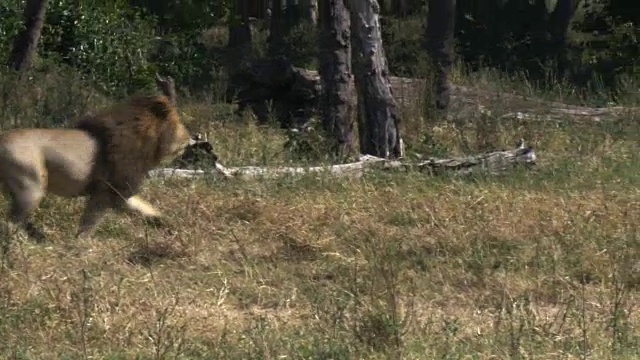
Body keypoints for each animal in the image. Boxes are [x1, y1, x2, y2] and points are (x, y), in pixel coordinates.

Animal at [0, 75, 190, 242]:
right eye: (179, 120)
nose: (189, 139)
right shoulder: (108, 191)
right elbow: (88, 225)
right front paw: (81, 247)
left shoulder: (119, 193)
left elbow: (144, 208)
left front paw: (166, 224)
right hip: (32, 187)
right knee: (11, 224)